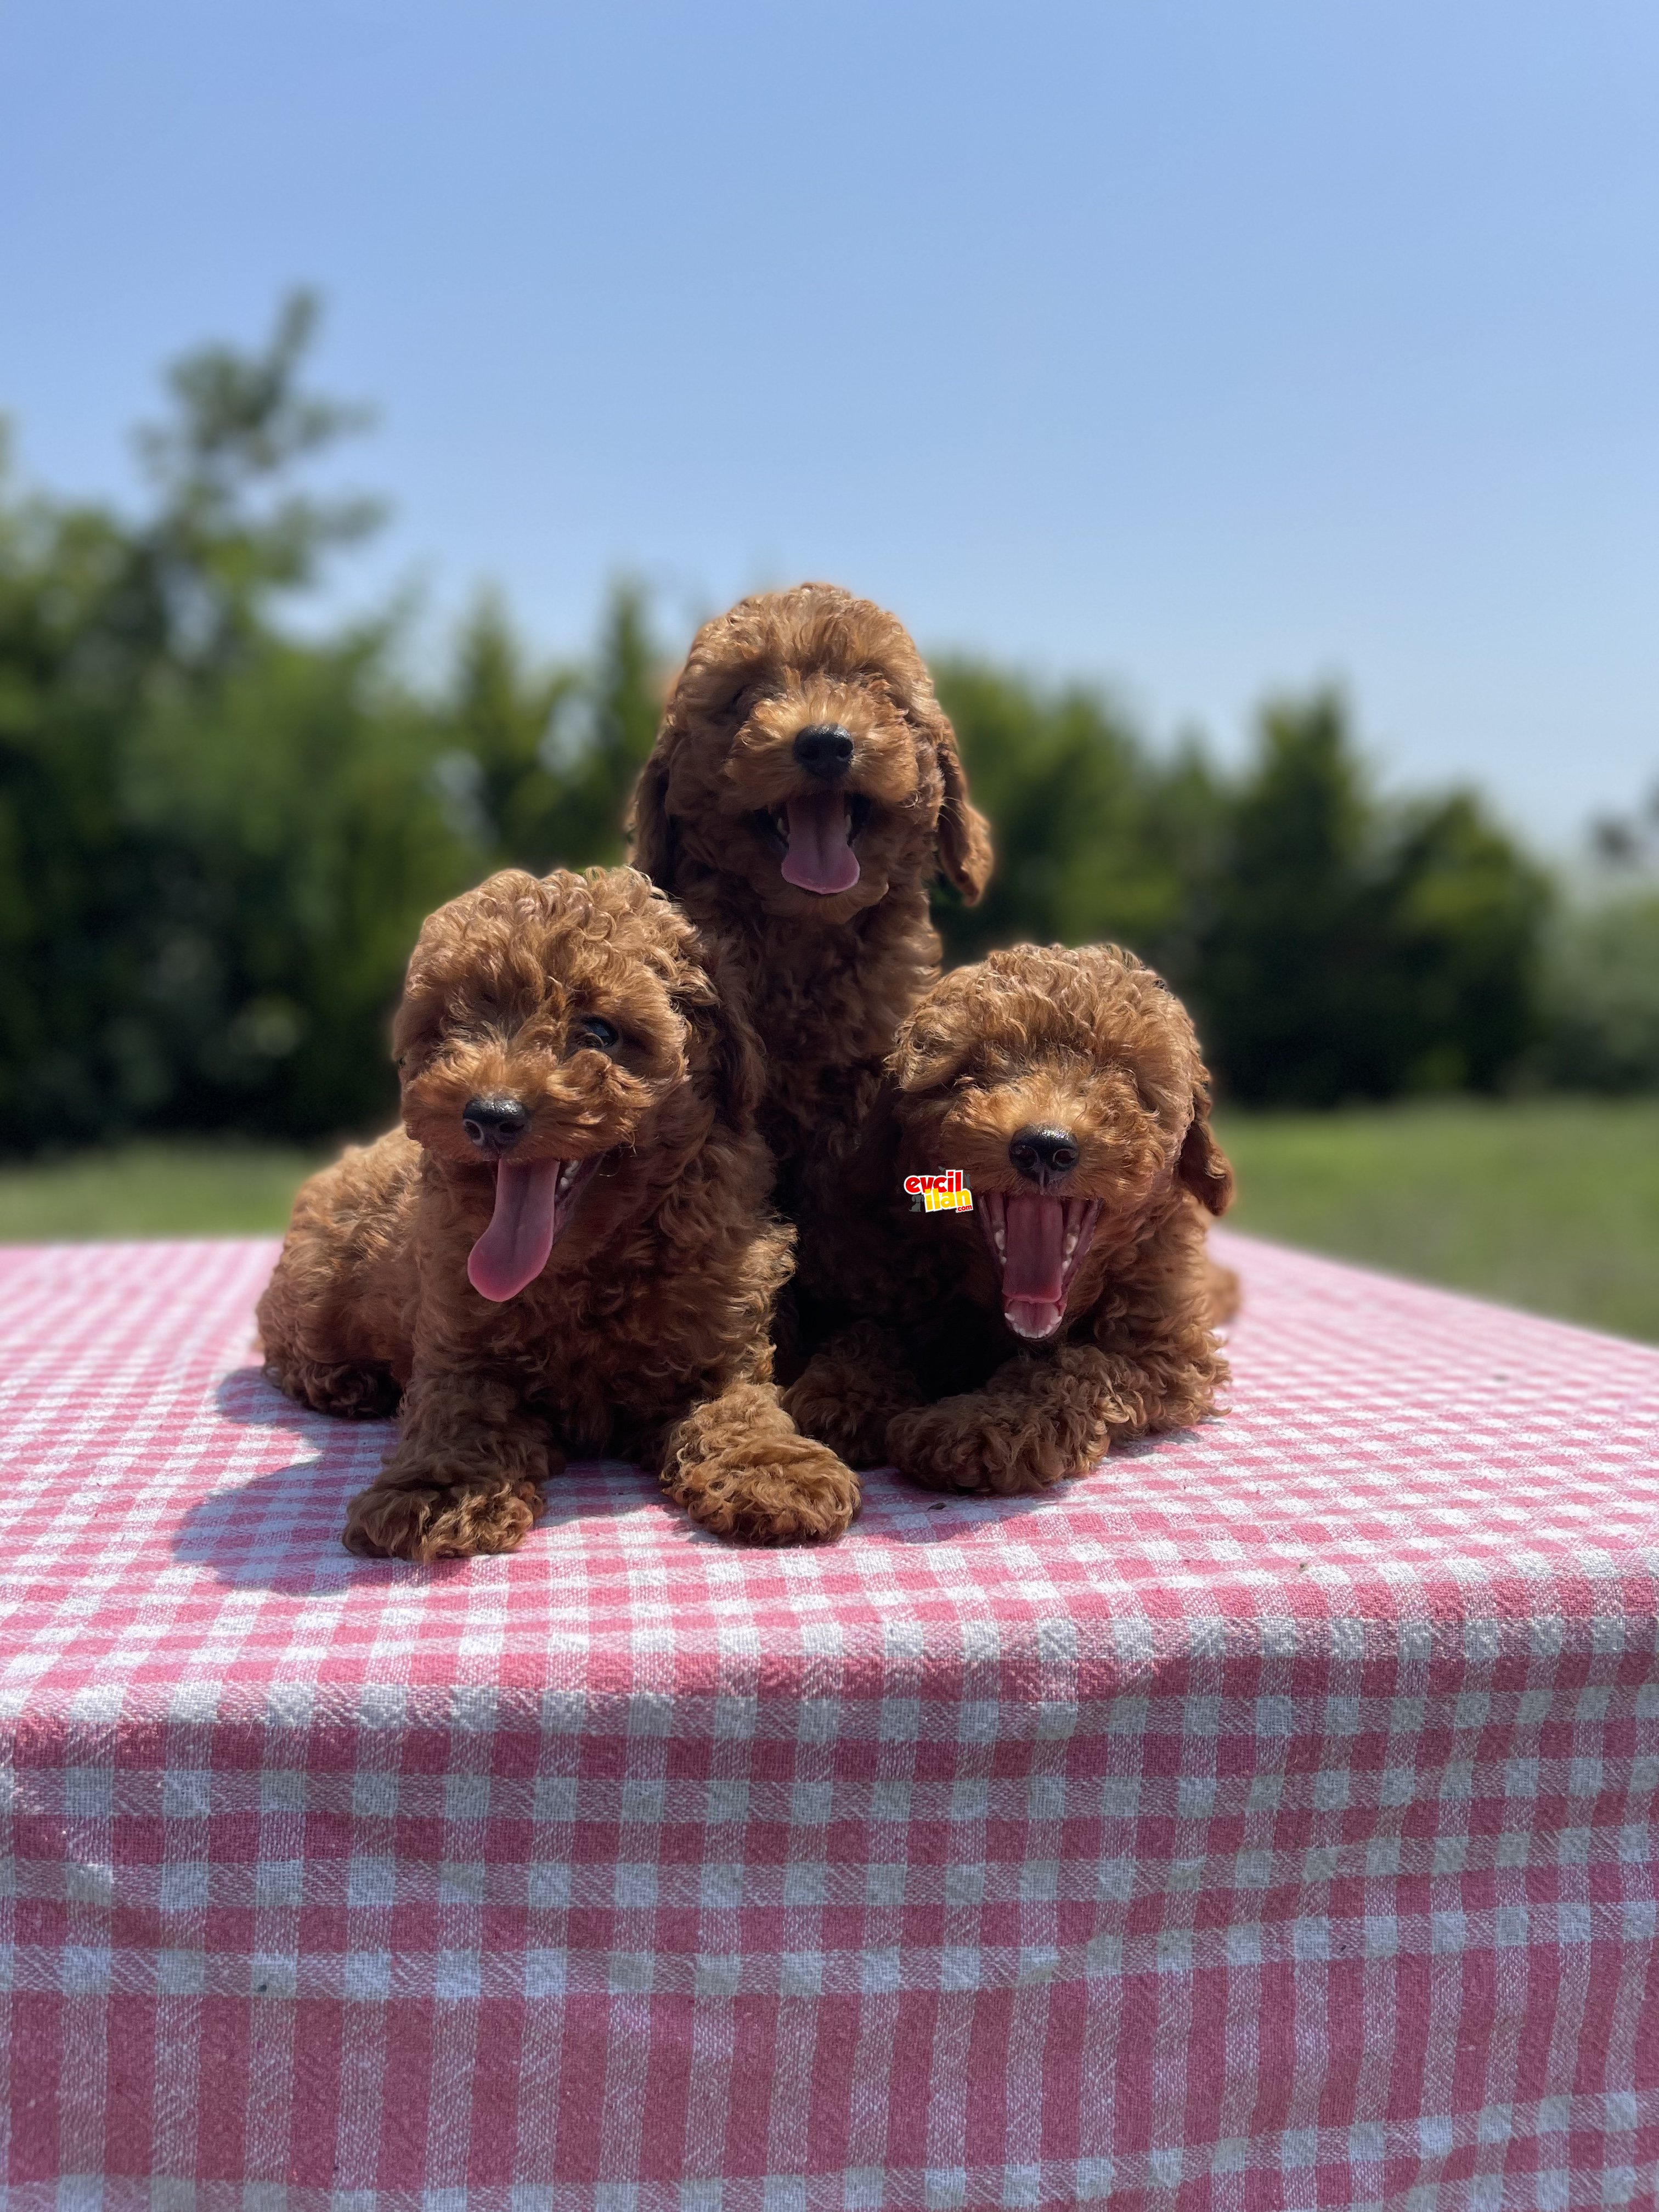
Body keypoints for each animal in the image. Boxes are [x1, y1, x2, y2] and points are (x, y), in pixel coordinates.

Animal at [263, 862, 858, 1557]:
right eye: (451, 1029)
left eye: (599, 1033)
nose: (490, 1116)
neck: (587, 1267)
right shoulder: (459, 1351)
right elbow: (456, 1416)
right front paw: (436, 1494)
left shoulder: (720, 1353)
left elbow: (740, 1408)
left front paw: (775, 1470)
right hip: (315, 1291)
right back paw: (346, 1383)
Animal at [787, 942, 1238, 1495]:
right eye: (967, 1072)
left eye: (1127, 1079)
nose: (1044, 1147)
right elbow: (872, 1329)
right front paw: (845, 1393)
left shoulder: (1166, 1352)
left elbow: (1080, 1368)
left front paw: (974, 1427)